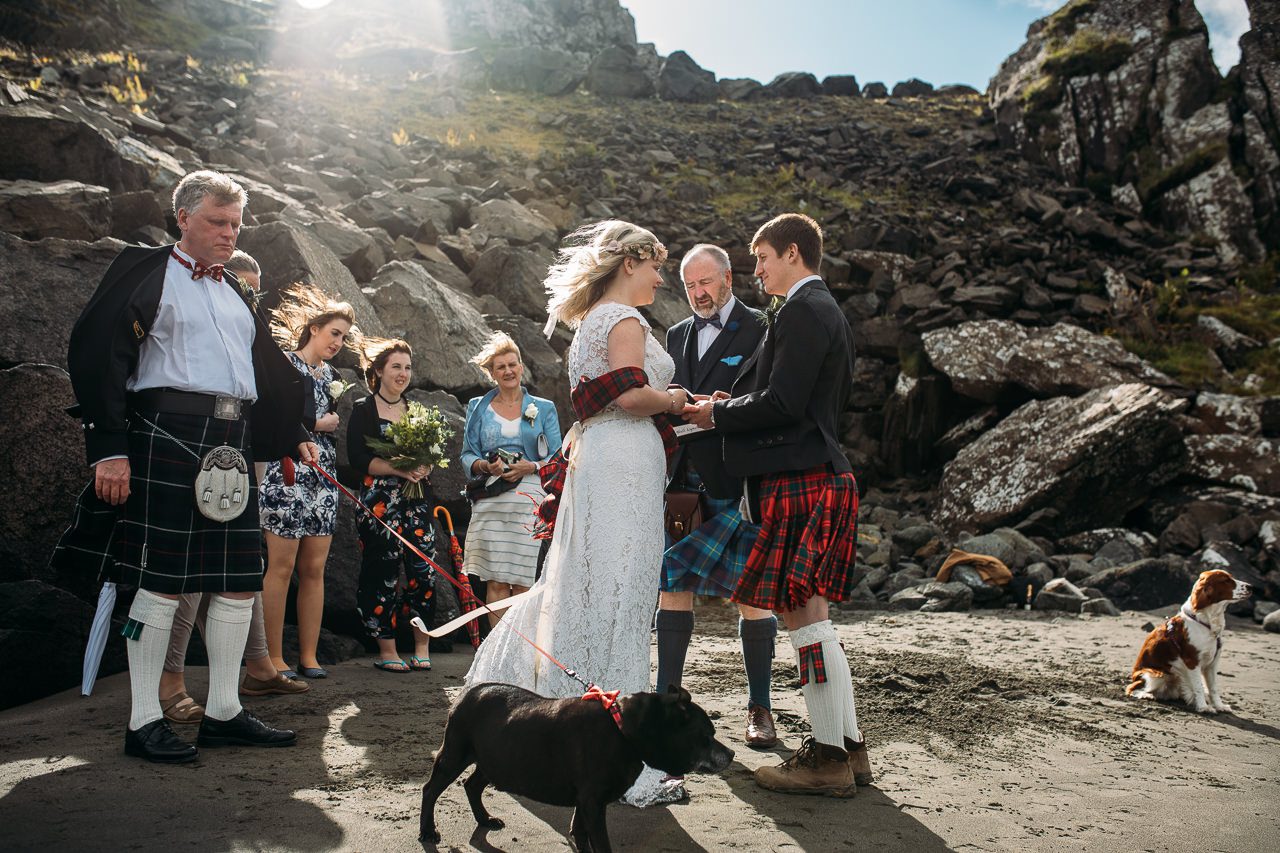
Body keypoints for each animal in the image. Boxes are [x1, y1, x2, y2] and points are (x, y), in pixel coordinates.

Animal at [422, 681, 732, 845]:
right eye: (707, 736)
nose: (731, 754)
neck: (622, 730)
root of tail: (468, 692)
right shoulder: (592, 802)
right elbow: (600, 842)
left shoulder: (585, 801)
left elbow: (579, 832)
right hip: (455, 755)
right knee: (430, 790)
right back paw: (427, 832)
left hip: (494, 761)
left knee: (472, 785)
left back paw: (484, 819)